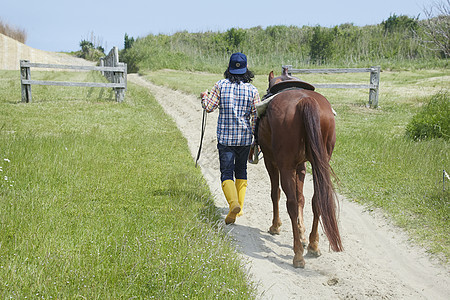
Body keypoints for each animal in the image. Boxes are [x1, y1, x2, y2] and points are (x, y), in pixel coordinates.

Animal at [258, 68, 342, 268]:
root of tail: (306, 101)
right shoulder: (302, 165)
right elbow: (302, 198)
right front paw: (303, 234)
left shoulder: (272, 162)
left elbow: (276, 194)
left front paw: (276, 226)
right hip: (319, 163)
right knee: (317, 199)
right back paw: (312, 245)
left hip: (285, 166)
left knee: (290, 203)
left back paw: (298, 255)